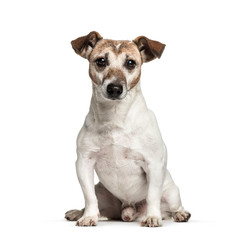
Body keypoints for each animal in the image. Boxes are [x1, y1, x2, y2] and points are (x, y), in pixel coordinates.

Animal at [64, 30, 190, 227]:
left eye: (131, 63)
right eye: (101, 61)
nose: (115, 88)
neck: (115, 117)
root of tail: (128, 208)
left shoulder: (153, 164)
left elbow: (152, 195)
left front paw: (153, 217)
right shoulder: (84, 163)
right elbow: (89, 197)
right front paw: (88, 217)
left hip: (171, 192)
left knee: (174, 205)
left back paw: (180, 214)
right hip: (102, 191)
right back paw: (79, 212)